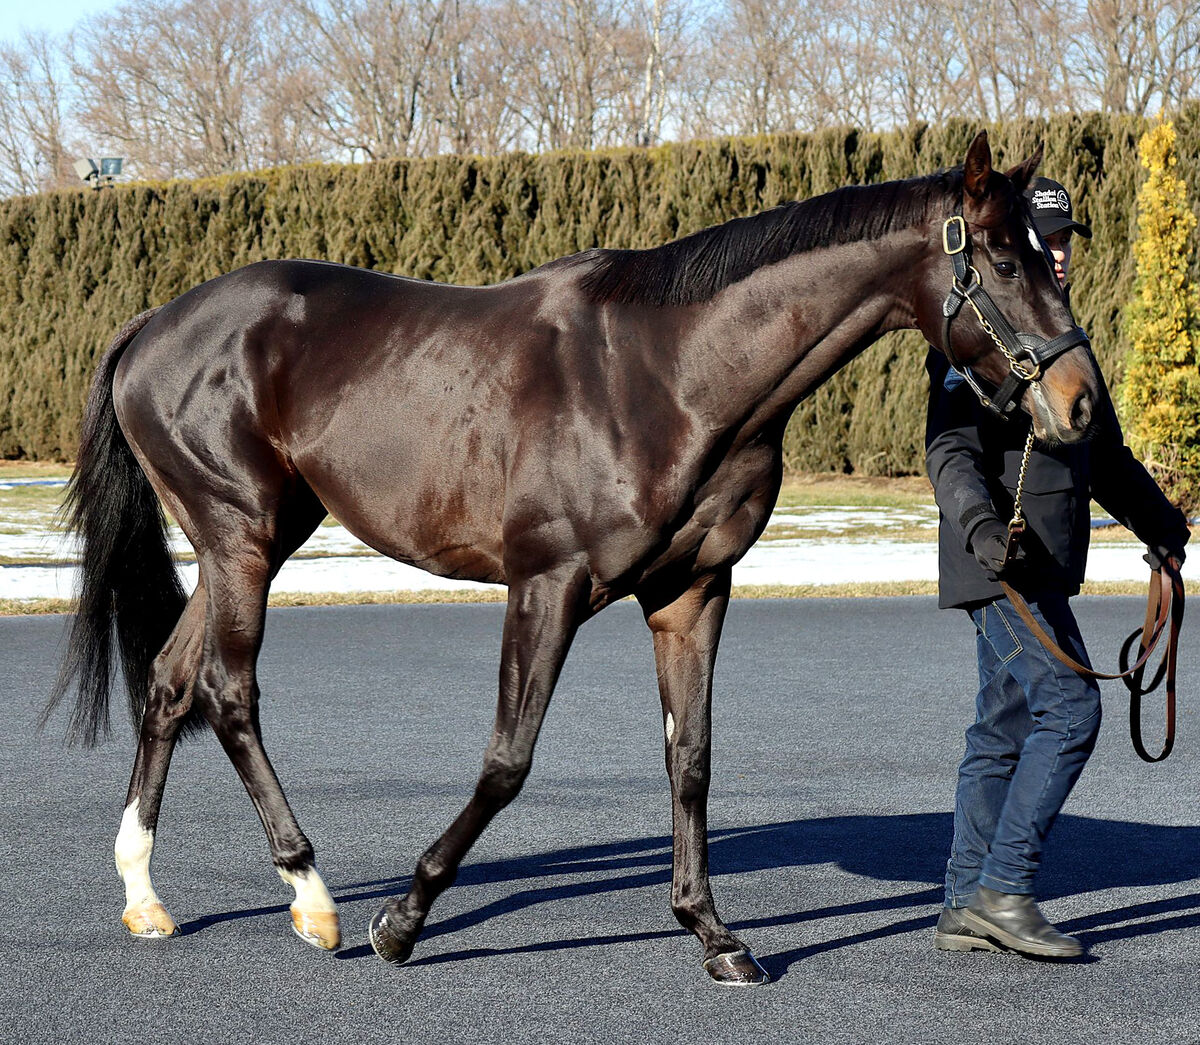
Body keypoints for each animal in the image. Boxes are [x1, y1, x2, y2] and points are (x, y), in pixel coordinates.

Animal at [44, 126, 1099, 983]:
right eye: (1005, 262)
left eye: (1053, 260)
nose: (1081, 403)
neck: (666, 375)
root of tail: (153, 326)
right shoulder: (547, 585)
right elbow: (508, 759)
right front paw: (403, 920)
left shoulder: (691, 590)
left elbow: (691, 758)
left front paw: (713, 933)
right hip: (241, 536)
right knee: (227, 691)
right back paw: (313, 897)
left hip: (256, 537)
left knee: (170, 682)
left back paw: (145, 894)